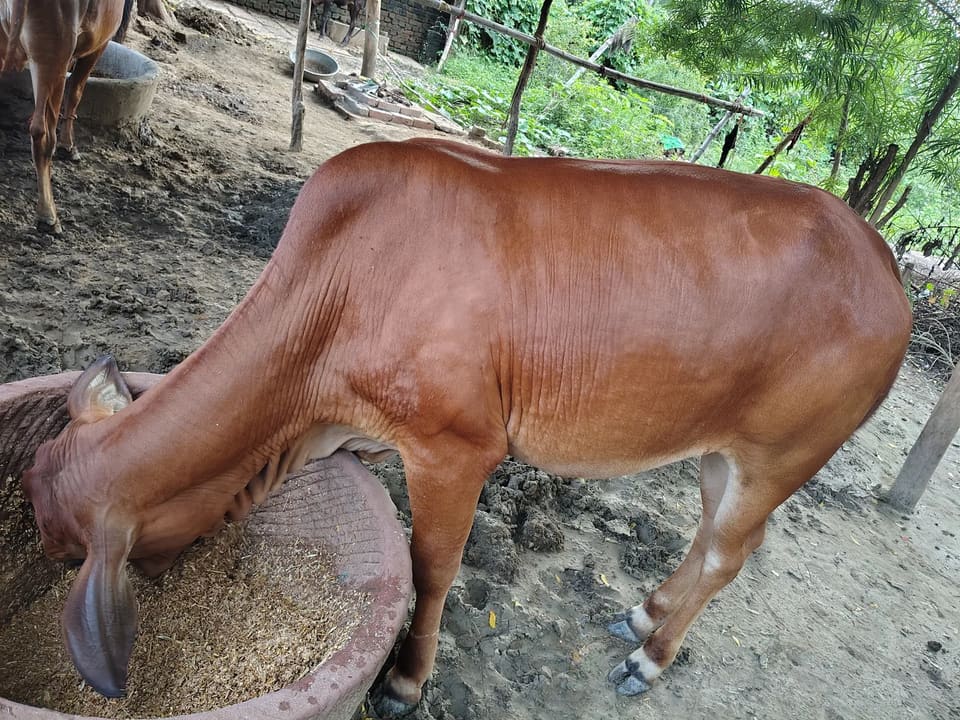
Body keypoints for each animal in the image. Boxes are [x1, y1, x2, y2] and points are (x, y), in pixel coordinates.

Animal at [0, 0, 134, 235]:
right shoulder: (99, 44)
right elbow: (76, 90)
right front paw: (68, 146)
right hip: (51, 57)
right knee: (42, 134)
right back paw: (48, 216)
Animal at [22, 139, 912, 714]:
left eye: (65, 551)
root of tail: (883, 263)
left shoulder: (454, 449)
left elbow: (432, 568)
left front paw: (404, 683)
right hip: (719, 450)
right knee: (709, 536)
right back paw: (644, 613)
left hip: (779, 454)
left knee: (730, 552)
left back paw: (649, 658)